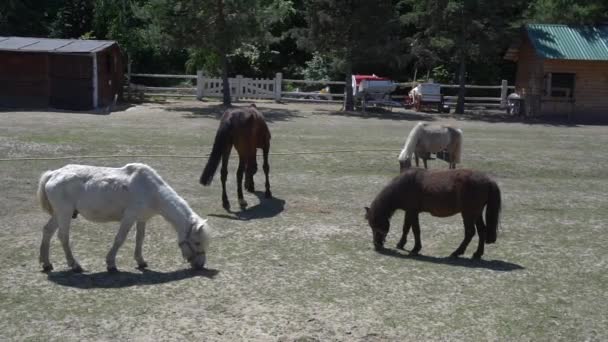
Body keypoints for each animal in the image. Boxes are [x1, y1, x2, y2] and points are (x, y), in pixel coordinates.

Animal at [37, 163, 211, 272]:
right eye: (197, 242)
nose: (200, 265)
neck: (151, 190)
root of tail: (53, 174)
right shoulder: (129, 217)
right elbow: (120, 239)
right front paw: (111, 264)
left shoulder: (142, 219)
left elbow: (140, 238)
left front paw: (141, 261)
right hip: (64, 213)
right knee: (63, 236)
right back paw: (74, 265)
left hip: (59, 214)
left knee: (47, 231)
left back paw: (46, 263)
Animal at [366, 168, 498, 260]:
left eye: (375, 225)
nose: (376, 245)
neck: (404, 186)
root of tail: (487, 180)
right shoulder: (409, 212)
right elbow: (406, 228)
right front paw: (400, 244)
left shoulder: (413, 212)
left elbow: (415, 230)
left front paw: (415, 249)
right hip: (477, 214)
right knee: (482, 231)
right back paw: (477, 254)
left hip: (468, 214)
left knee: (470, 232)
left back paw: (456, 252)